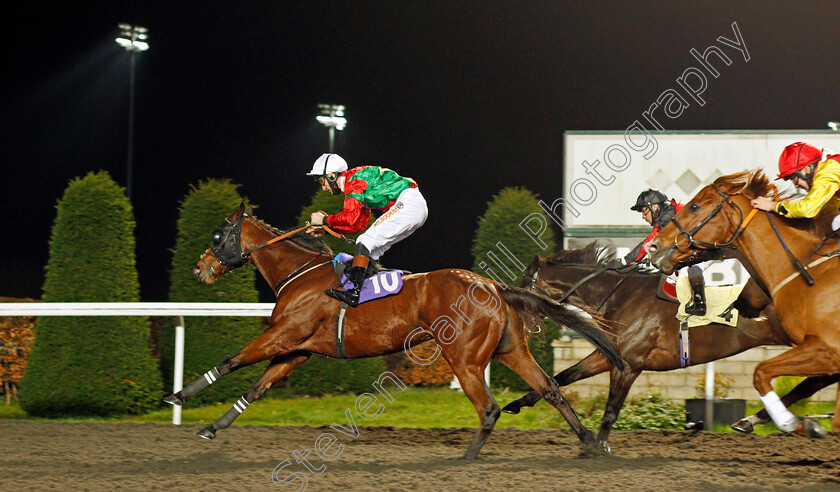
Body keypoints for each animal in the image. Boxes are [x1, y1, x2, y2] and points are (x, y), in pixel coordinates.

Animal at [166, 203, 624, 458]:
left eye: (217, 235)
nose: (200, 267)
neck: (301, 273)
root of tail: (492, 285)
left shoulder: (282, 336)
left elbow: (231, 361)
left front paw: (179, 396)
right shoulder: (298, 349)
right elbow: (256, 388)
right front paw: (212, 427)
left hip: (464, 358)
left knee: (489, 407)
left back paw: (466, 458)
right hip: (510, 350)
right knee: (550, 389)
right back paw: (588, 442)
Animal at [498, 244, 832, 440]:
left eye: (524, 284)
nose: (523, 322)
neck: (617, 294)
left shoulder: (629, 364)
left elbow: (610, 410)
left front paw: (598, 449)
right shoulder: (610, 355)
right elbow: (562, 377)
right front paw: (514, 405)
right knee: (815, 382)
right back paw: (758, 421)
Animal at [648, 171, 840, 436]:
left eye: (695, 206)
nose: (653, 246)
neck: (808, 272)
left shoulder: (829, 349)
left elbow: (761, 372)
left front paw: (791, 423)